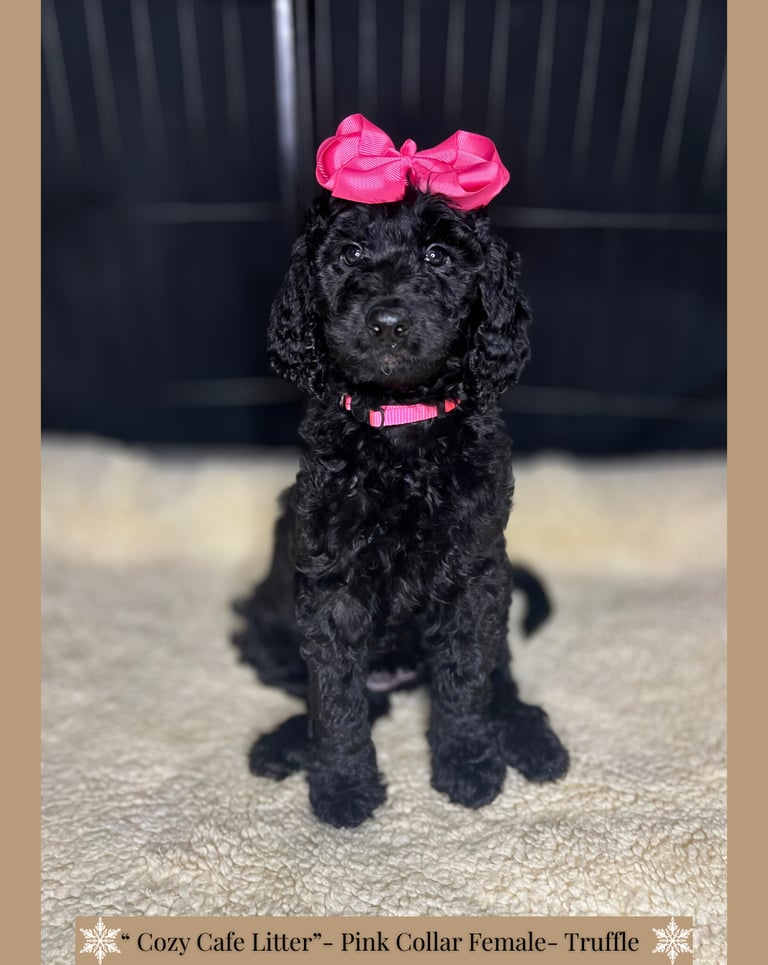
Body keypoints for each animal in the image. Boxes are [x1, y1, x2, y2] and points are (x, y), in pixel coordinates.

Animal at [233, 115, 568, 827]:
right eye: (351, 255)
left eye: (439, 257)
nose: (386, 321)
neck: (401, 426)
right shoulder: (330, 589)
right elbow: (337, 702)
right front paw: (341, 787)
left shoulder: (473, 575)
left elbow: (466, 681)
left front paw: (469, 764)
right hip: (269, 626)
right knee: (362, 694)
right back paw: (286, 744)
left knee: (498, 675)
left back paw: (529, 736)